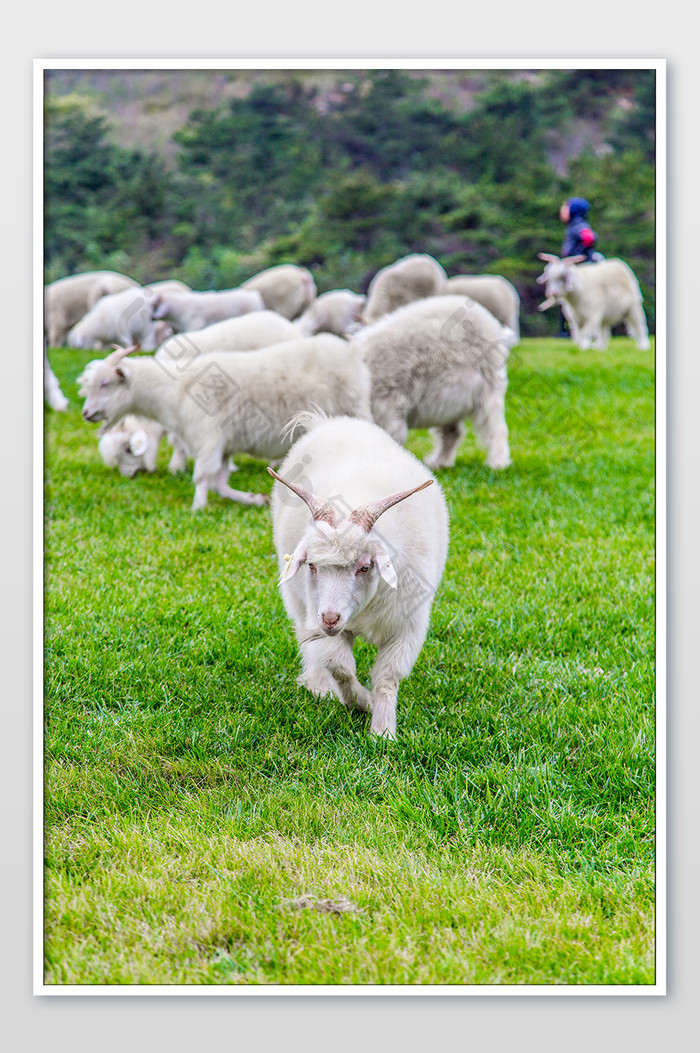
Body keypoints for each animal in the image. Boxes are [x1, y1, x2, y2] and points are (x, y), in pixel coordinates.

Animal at [78, 330, 374, 507]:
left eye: (105, 384)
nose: (86, 414)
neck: (175, 389)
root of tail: (349, 351)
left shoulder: (208, 438)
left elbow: (202, 477)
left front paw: (197, 508)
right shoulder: (225, 446)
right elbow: (219, 484)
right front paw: (255, 499)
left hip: (355, 407)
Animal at [267, 412, 448, 741]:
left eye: (365, 566)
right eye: (312, 566)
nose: (330, 618)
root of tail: (327, 421)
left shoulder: (407, 628)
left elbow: (387, 677)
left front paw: (383, 731)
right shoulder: (325, 625)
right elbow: (340, 667)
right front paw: (361, 701)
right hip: (300, 603)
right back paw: (319, 686)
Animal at [351, 290, 511, 467]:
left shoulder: (388, 404)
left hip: (489, 386)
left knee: (495, 427)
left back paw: (498, 463)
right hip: (450, 400)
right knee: (453, 433)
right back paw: (439, 462)